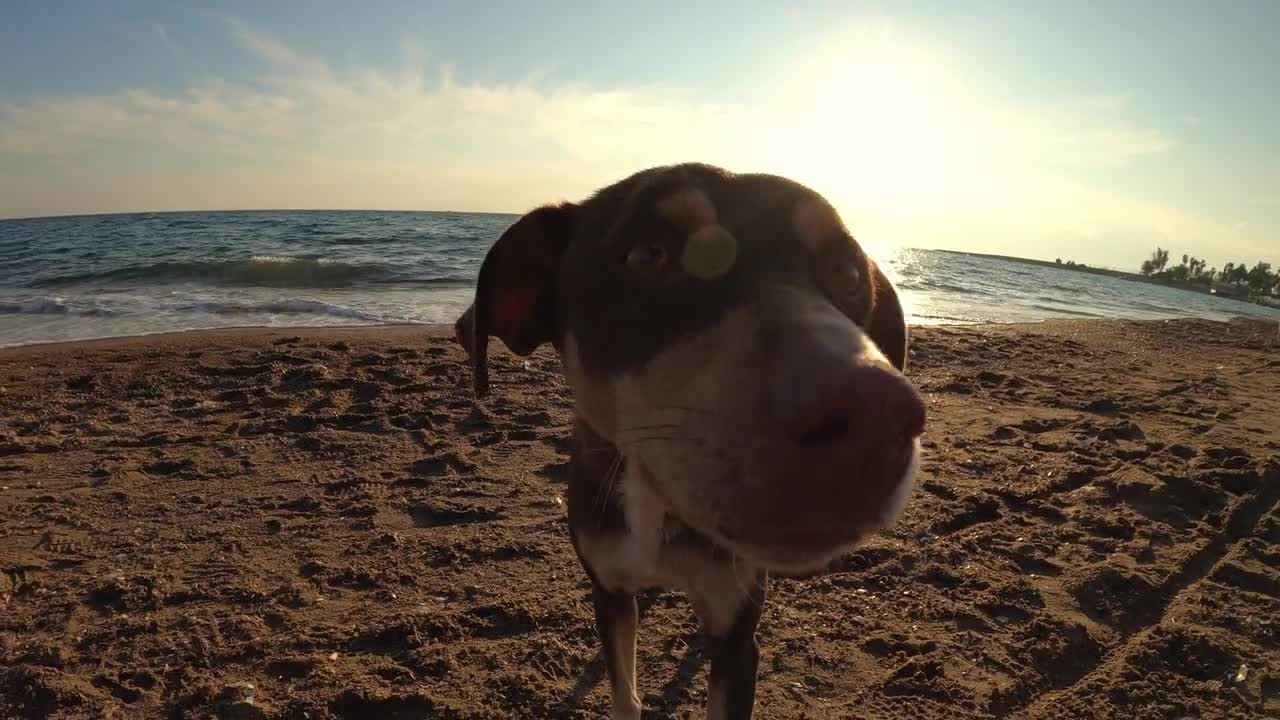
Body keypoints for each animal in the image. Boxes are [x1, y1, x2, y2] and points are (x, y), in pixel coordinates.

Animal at [455, 162, 926, 717]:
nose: (876, 412)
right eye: (646, 254)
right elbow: (624, 691)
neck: (663, 513)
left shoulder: (737, 636)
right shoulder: (609, 592)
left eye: (849, 274)